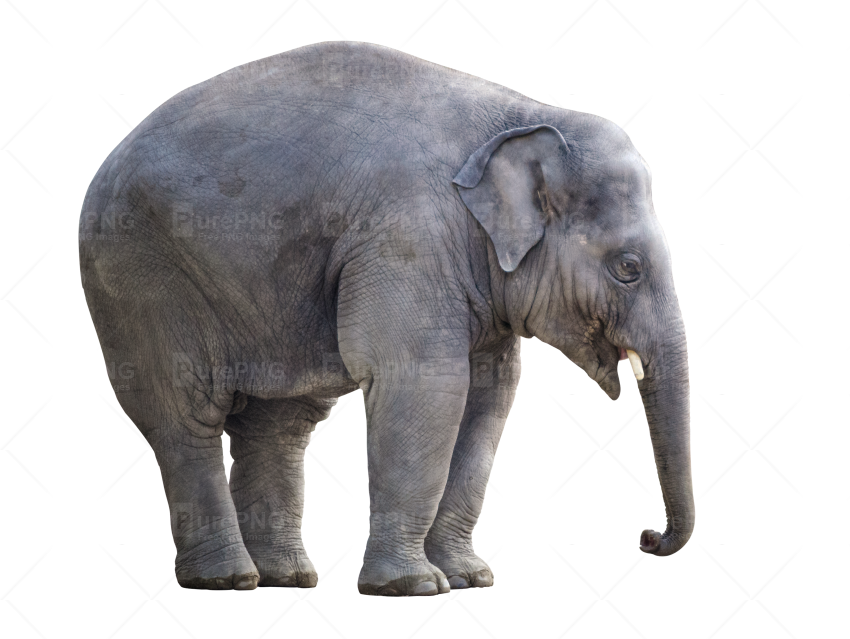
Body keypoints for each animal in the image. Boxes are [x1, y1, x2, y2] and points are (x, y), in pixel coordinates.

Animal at [78, 40, 695, 596]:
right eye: (628, 268)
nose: (646, 537)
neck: (525, 116)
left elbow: (489, 397)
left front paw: (470, 581)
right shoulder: (407, 236)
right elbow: (426, 384)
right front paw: (413, 587)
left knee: (279, 422)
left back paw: (284, 579)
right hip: (141, 276)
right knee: (186, 414)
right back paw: (225, 581)